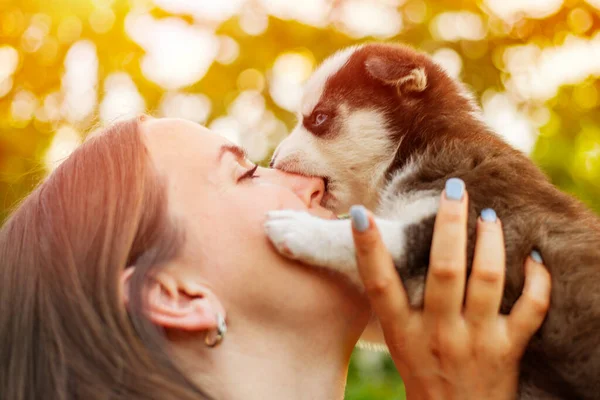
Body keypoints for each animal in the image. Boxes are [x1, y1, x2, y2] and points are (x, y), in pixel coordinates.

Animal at [264, 42, 600, 398]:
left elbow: (371, 234)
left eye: (319, 118)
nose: (272, 160)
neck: (423, 143)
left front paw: (298, 227)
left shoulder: (483, 226)